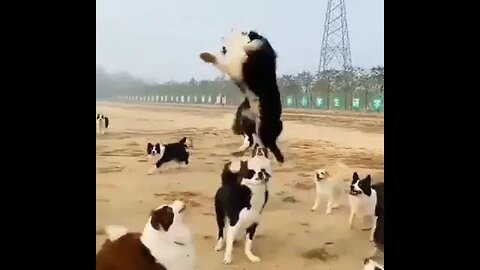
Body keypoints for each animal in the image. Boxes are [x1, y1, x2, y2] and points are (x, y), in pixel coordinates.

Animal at [200, 30, 284, 163]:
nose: (223, 46)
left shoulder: (238, 64)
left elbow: (223, 61)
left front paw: (207, 56)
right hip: (241, 119)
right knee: (250, 139)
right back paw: (239, 151)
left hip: (262, 125)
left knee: (264, 144)